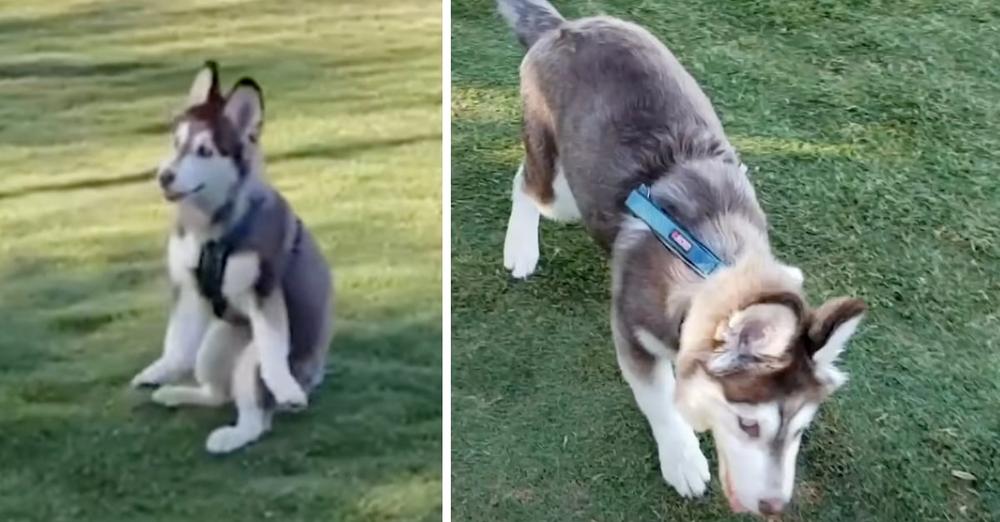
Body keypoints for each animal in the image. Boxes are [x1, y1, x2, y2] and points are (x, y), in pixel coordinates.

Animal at [131, 61, 336, 450]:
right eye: (176, 143)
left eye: (205, 151)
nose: (164, 176)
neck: (211, 231)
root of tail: (316, 375)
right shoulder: (189, 289)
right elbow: (177, 342)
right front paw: (159, 370)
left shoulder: (264, 290)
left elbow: (273, 351)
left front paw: (285, 389)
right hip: (213, 345)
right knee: (216, 392)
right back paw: (178, 394)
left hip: (248, 361)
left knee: (256, 415)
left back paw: (232, 436)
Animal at [496, 0, 864, 512]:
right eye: (748, 425)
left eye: (799, 431)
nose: (774, 507)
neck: (705, 254)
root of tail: (566, 27)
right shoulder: (631, 331)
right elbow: (659, 399)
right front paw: (683, 458)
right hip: (562, 194)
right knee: (525, 182)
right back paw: (520, 248)